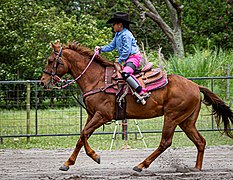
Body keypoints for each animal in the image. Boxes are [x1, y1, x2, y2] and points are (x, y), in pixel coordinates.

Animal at [41, 41, 232, 172]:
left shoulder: (102, 115)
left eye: (51, 61)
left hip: (172, 117)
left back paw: (141, 165)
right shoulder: (91, 115)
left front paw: (94, 156)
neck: (97, 79)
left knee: (165, 142)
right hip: (187, 121)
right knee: (200, 141)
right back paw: (196, 168)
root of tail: (195, 85)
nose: (43, 82)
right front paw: (68, 163)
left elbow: (83, 134)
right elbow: (82, 136)